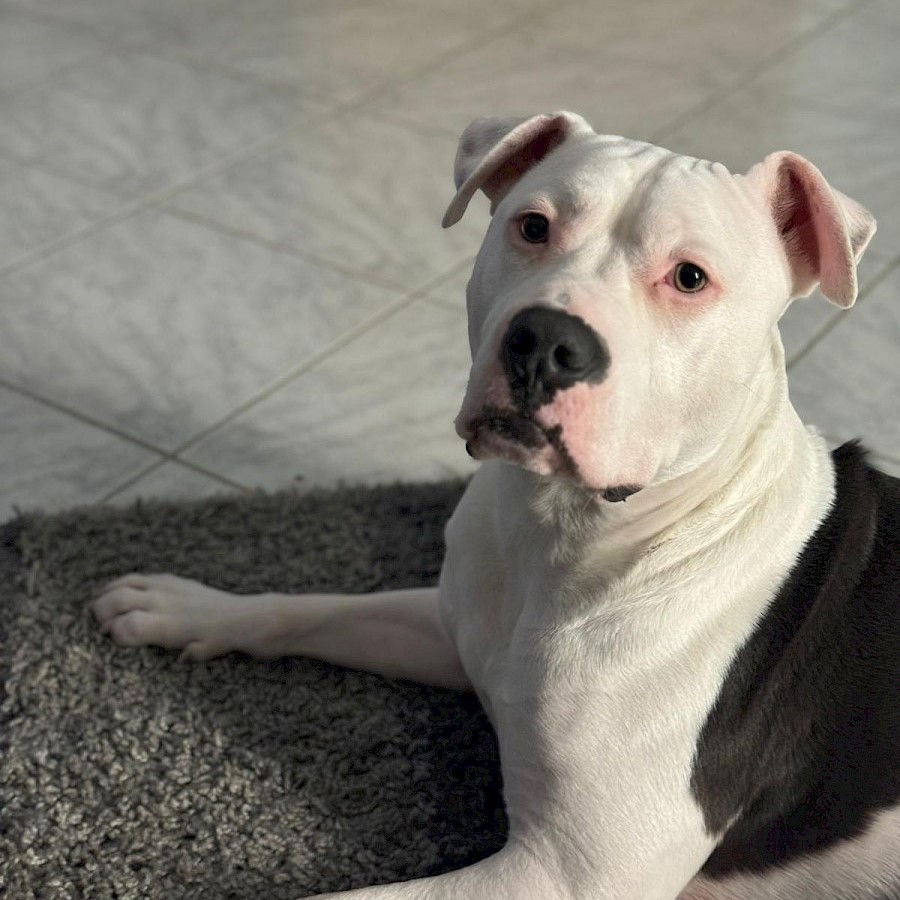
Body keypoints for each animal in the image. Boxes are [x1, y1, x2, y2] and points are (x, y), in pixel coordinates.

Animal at [92, 111, 899, 900]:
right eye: (533, 225)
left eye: (690, 277)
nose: (546, 341)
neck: (564, 533)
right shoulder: (452, 625)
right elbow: (312, 607)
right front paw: (186, 606)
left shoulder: (563, 873)